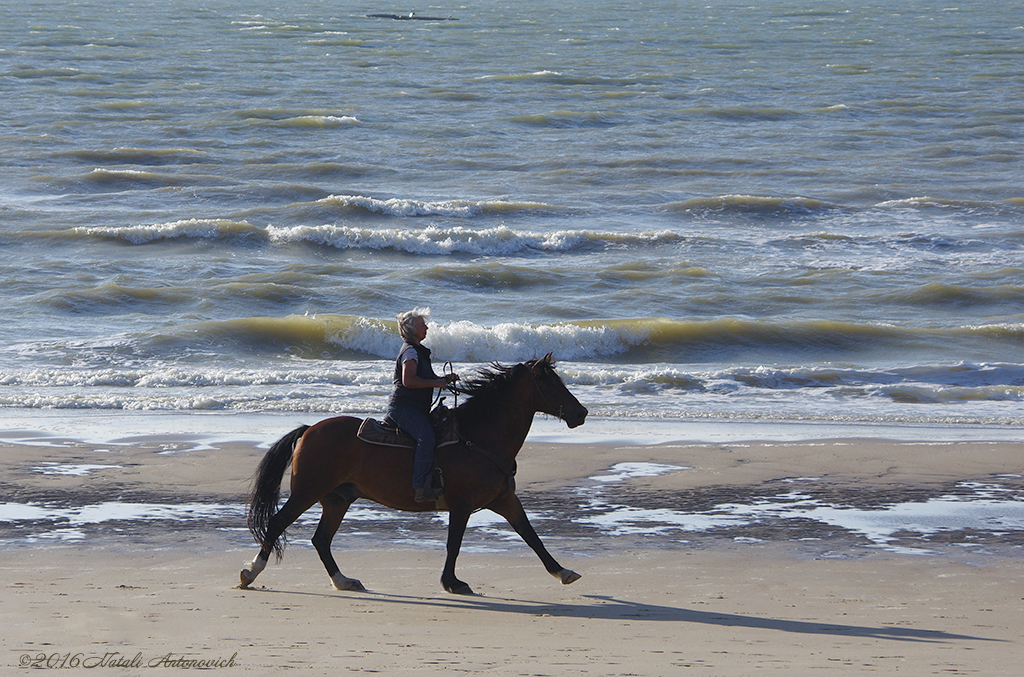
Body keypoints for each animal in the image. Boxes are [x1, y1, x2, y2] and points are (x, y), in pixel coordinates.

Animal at [239, 354, 589, 589]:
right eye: (549, 382)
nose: (581, 413)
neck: (479, 436)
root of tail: (310, 429)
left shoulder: (505, 500)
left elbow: (532, 536)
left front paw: (563, 572)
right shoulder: (461, 505)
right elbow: (454, 543)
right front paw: (451, 582)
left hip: (338, 498)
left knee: (321, 539)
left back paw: (343, 580)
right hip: (308, 491)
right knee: (278, 523)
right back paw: (250, 572)